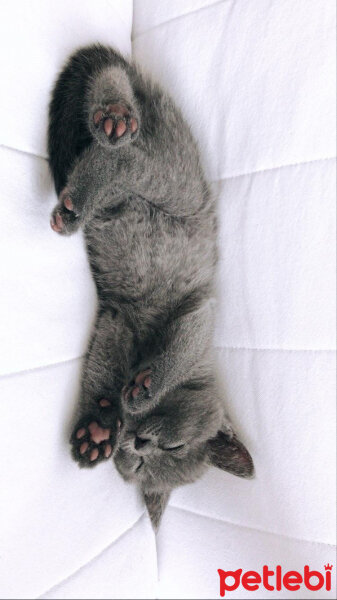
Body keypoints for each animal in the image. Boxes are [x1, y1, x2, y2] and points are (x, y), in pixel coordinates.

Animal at [46, 44, 252, 528]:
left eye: (138, 465)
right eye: (173, 446)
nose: (138, 441)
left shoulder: (115, 322)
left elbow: (102, 369)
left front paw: (99, 429)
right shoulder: (200, 312)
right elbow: (182, 346)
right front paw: (145, 389)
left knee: (113, 139)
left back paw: (109, 123)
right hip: (172, 189)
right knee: (122, 156)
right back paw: (111, 129)